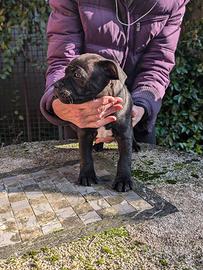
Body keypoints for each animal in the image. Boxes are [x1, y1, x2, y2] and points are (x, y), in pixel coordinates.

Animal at [54, 53, 136, 192]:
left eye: (77, 75)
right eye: (64, 72)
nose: (55, 84)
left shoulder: (124, 134)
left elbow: (125, 158)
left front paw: (123, 180)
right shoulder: (85, 133)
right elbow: (85, 156)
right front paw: (87, 175)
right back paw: (98, 145)